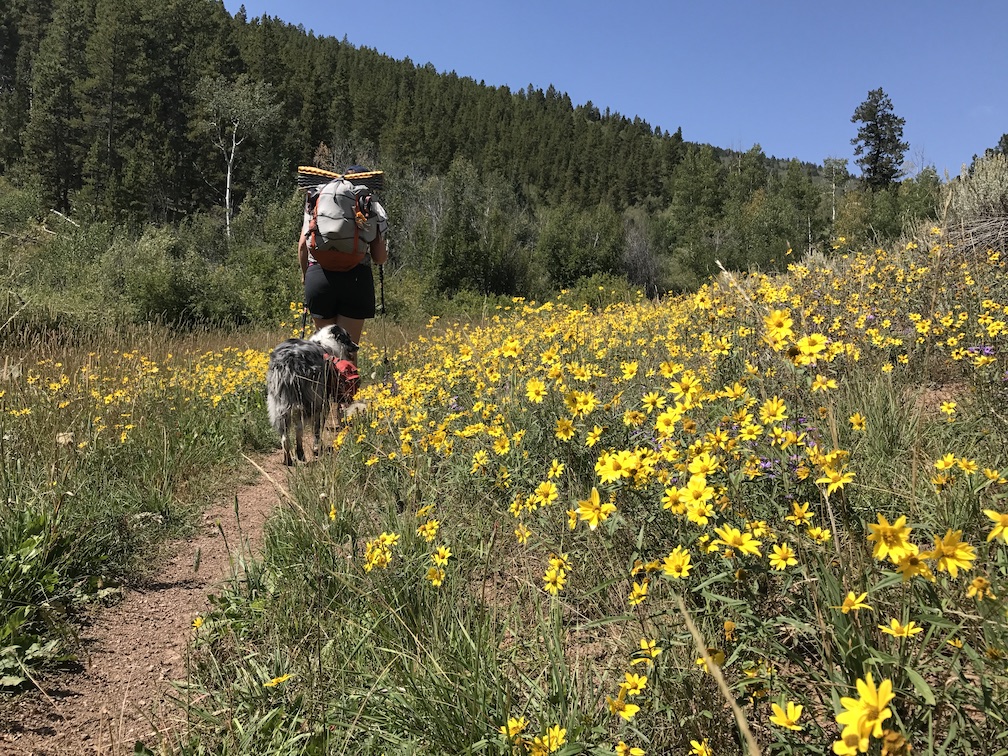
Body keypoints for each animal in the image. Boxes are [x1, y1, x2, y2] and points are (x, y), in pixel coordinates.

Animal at [266, 326, 360, 467]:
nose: (357, 346)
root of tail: (290, 359)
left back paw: (290, 459)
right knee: (300, 429)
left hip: (279, 403)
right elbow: (317, 428)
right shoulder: (323, 403)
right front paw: (317, 448)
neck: (326, 344)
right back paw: (303, 453)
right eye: (347, 337)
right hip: (311, 400)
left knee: (286, 436)